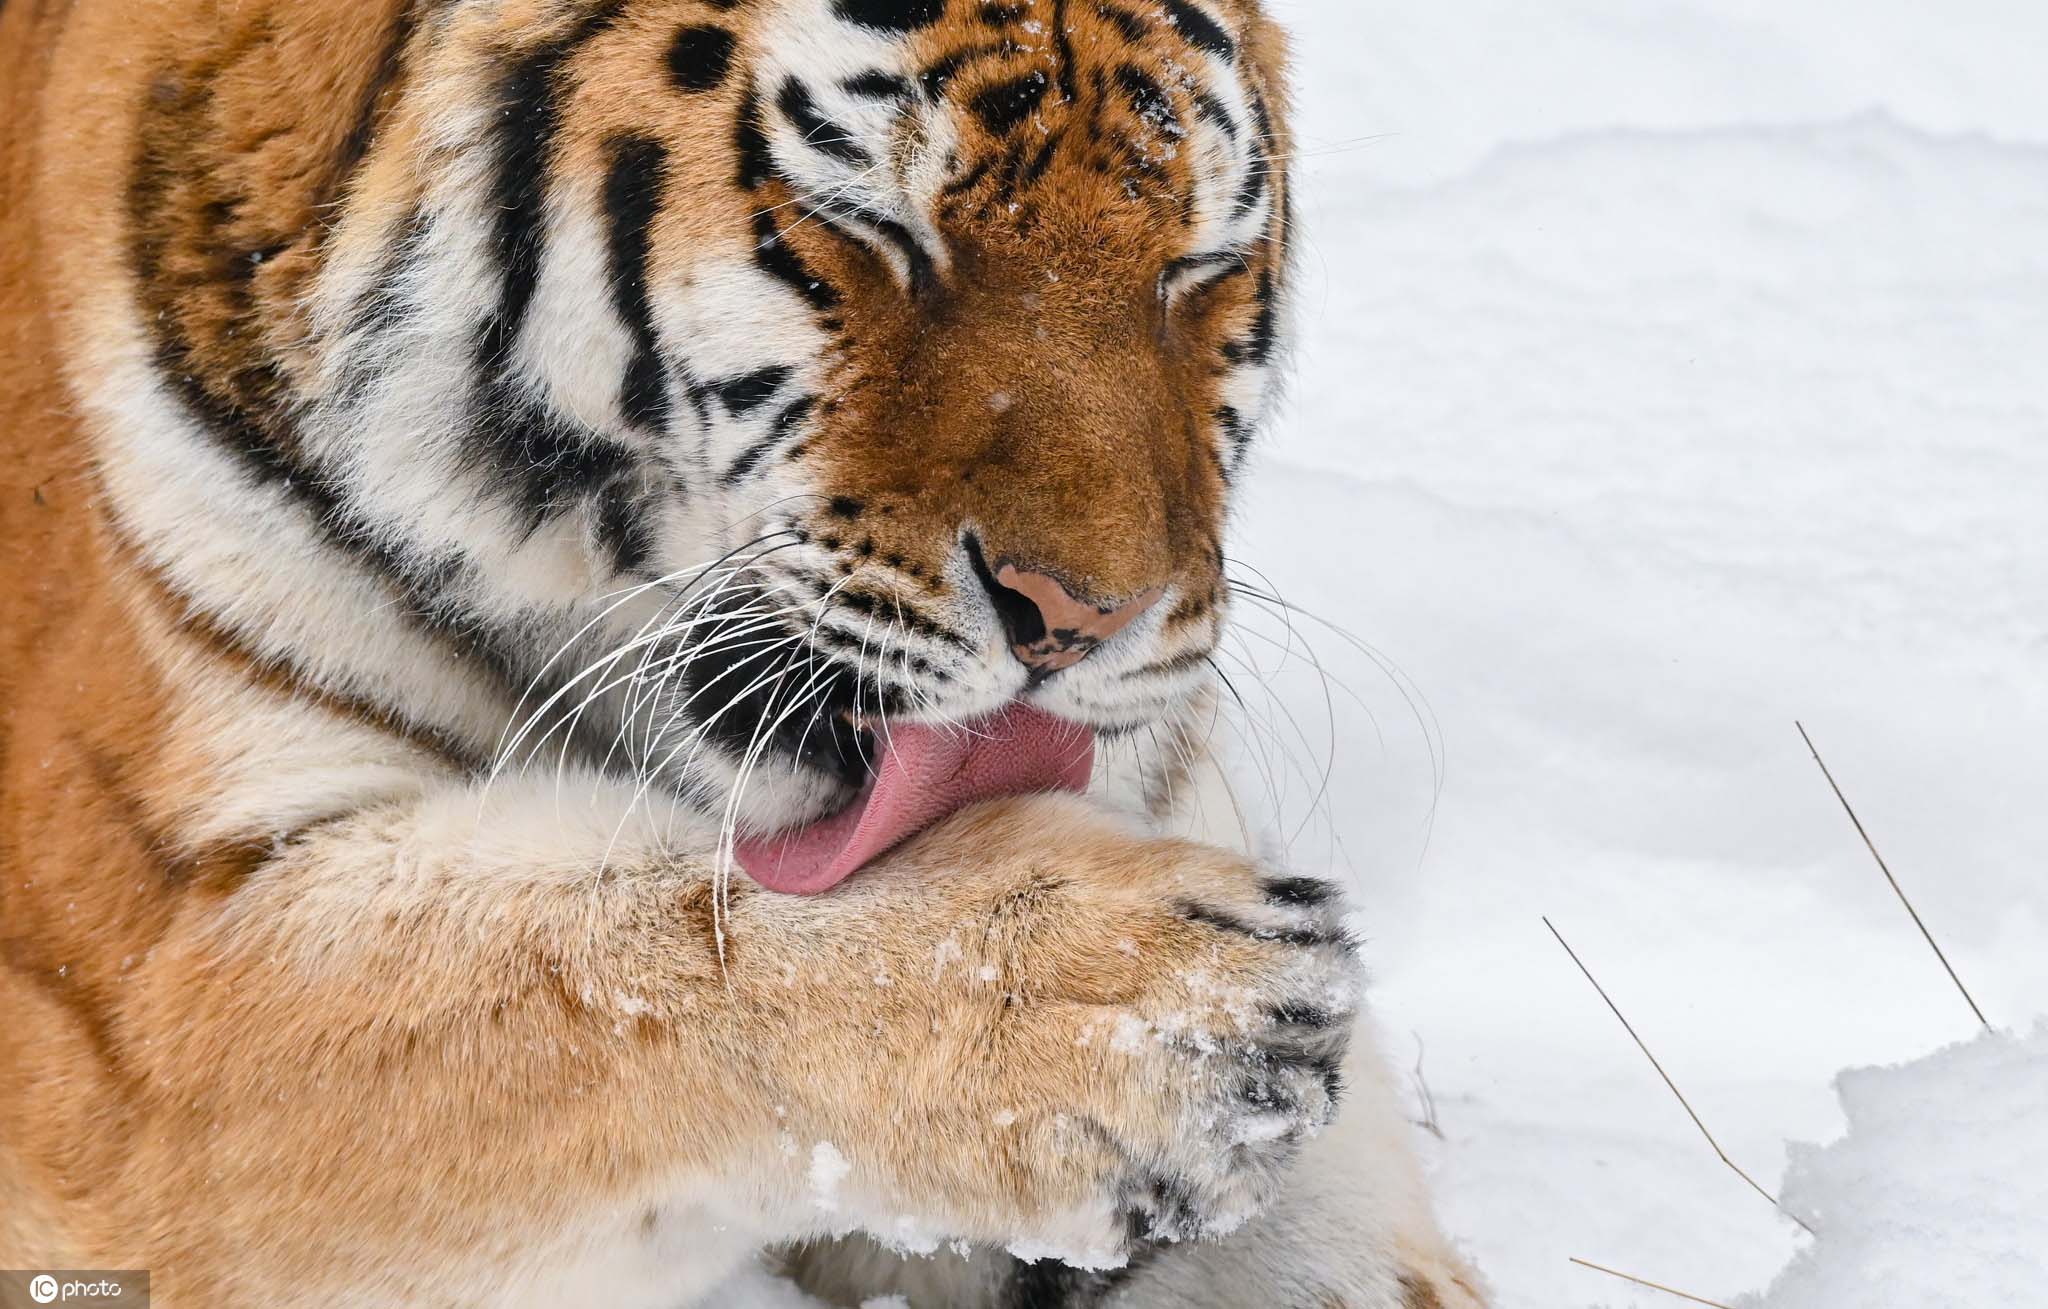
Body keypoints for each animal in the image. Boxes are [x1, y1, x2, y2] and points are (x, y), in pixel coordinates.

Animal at [0, 0, 1482, 1302]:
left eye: (1192, 267)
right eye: (871, 229)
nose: (1084, 619)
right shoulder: (140, 1015)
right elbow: (580, 962)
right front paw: (1155, 1009)